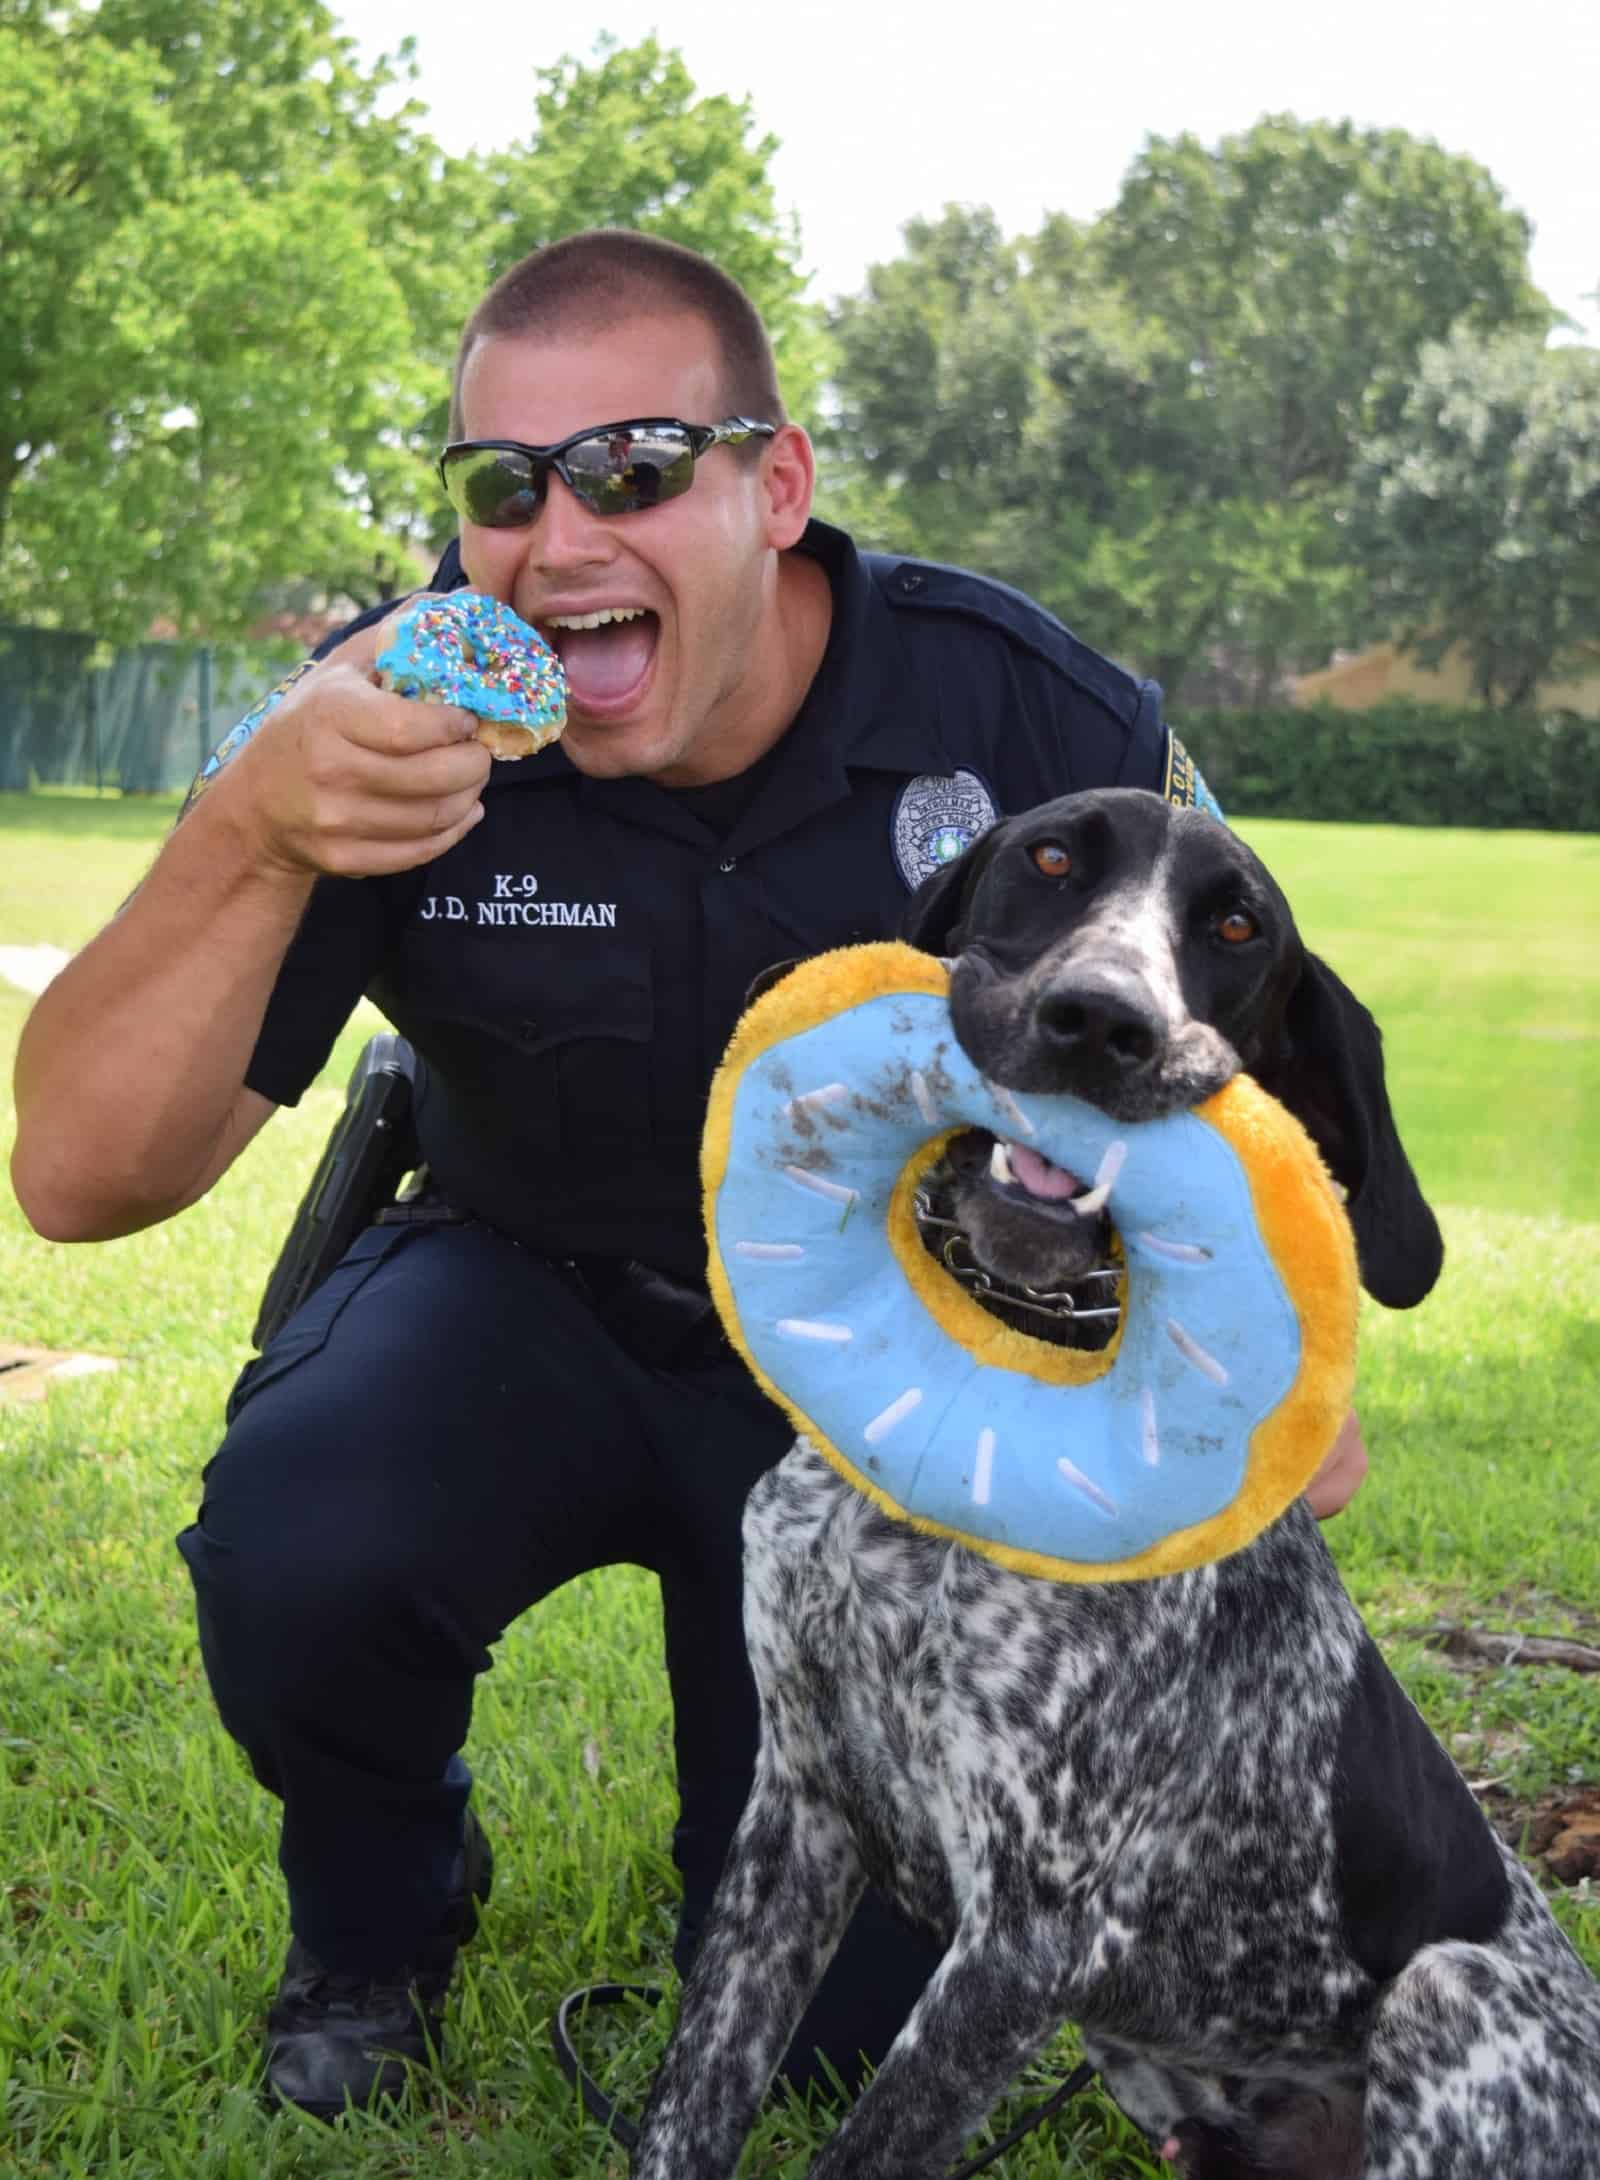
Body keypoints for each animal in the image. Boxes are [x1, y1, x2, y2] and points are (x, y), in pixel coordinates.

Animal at [627, 793, 1600, 2180]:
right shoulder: (793, 1816)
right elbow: (688, 2101)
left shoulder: (1024, 1940)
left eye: (1238, 927)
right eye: (1048, 857)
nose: (1098, 1020)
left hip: (1446, 1994)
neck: (978, 1405)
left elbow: (866, 2145)